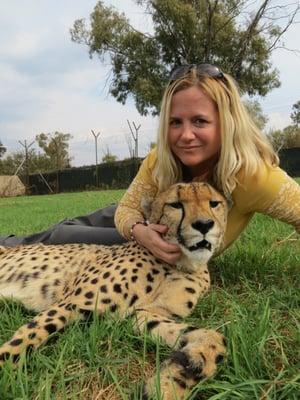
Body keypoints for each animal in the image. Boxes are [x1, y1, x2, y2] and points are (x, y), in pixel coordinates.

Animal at [0, 183, 227, 398]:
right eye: (176, 205)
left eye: (214, 203)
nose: (204, 224)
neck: (178, 263)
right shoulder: (69, 304)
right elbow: (19, 345)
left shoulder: (143, 315)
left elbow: (216, 338)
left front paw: (172, 382)